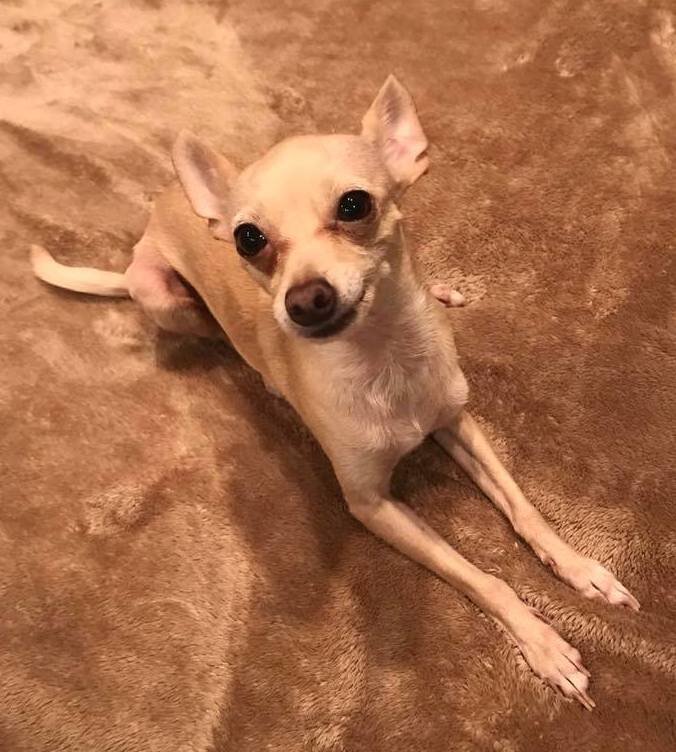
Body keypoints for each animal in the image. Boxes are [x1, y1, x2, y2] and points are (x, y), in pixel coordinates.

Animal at [31, 75, 639, 710]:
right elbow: (483, 578)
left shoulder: (457, 423)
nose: (304, 301)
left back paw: (440, 291)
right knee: (220, 334)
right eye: (249, 239)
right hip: (161, 298)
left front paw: (581, 569)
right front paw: (543, 645)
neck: (385, 357)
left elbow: (526, 510)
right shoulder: (373, 505)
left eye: (354, 205)